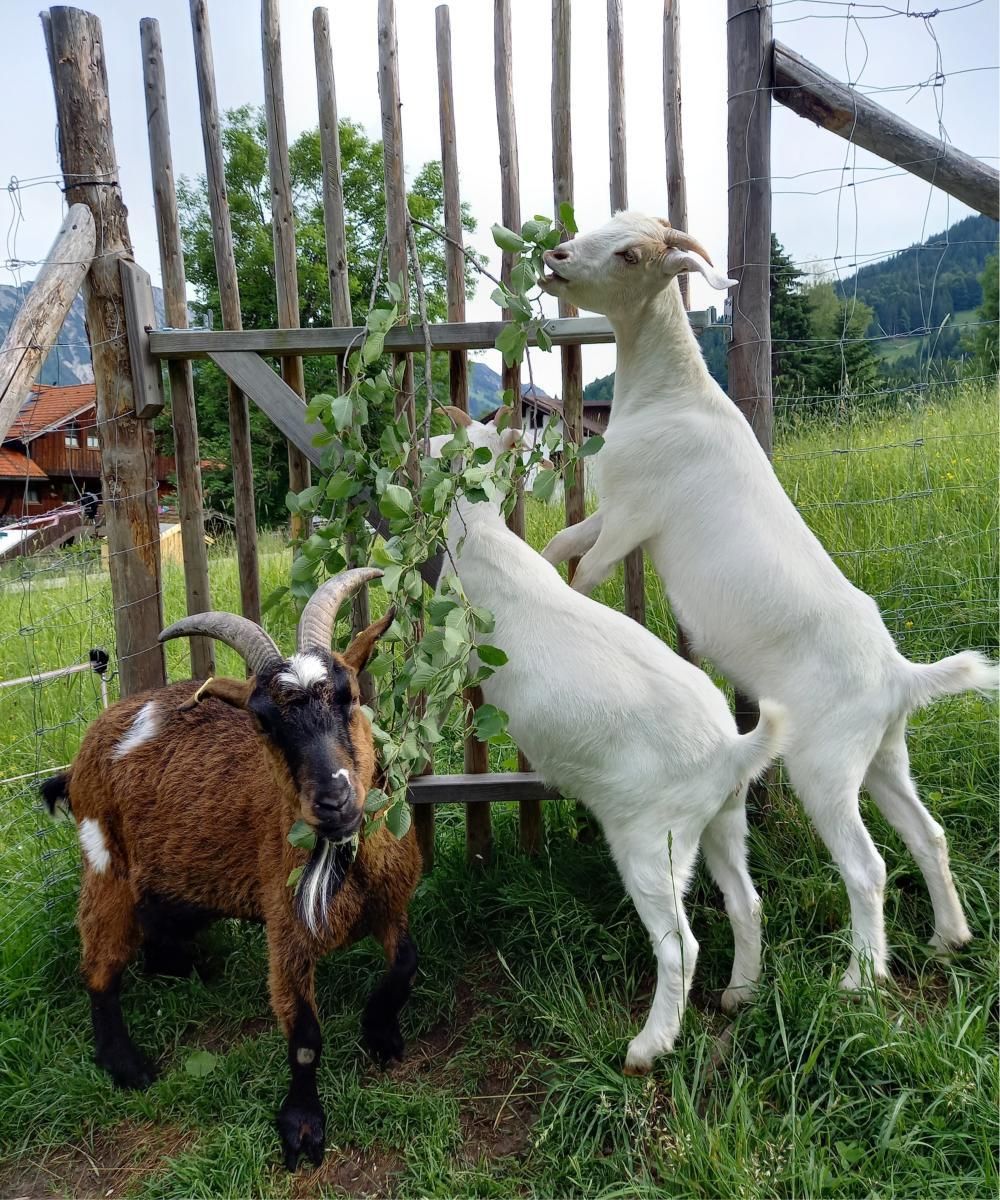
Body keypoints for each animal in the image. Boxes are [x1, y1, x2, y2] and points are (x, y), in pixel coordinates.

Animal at [42, 569, 421, 1171]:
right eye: (262, 721)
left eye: (349, 695)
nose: (333, 800)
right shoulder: (287, 931)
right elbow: (304, 1036)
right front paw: (302, 1129)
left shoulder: (392, 901)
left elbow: (406, 961)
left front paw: (381, 1033)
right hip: (104, 862)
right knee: (99, 967)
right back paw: (127, 1065)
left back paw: (185, 968)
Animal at [430, 411, 785, 1073]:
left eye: (437, 447)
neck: (484, 535)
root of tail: (732, 750)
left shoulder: (456, 648)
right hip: (722, 820)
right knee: (745, 902)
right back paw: (740, 994)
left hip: (650, 843)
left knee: (680, 946)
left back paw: (648, 1046)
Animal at [539, 211, 998, 990]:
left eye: (631, 253)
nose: (557, 257)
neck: (672, 397)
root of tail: (900, 678)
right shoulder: (615, 511)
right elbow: (564, 540)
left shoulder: (637, 515)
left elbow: (589, 574)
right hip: (883, 753)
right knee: (928, 834)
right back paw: (947, 937)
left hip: (824, 762)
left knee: (868, 866)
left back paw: (860, 979)